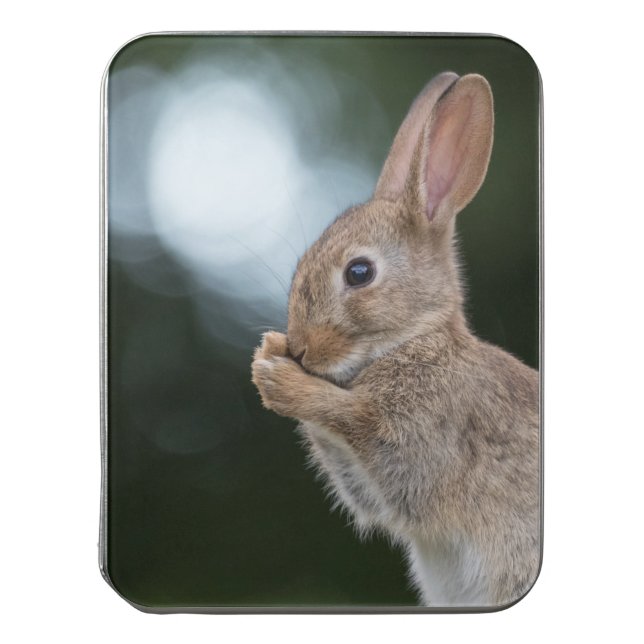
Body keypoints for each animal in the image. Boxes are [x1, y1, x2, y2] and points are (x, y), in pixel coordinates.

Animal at [251, 71, 540, 608]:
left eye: (359, 272)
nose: (301, 348)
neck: (414, 340)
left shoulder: (422, 444)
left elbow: (357, 424)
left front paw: (279, 378)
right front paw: (270, 353)